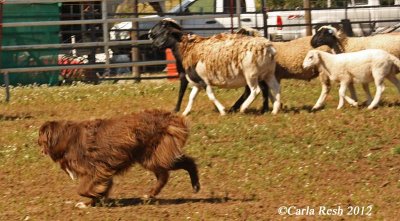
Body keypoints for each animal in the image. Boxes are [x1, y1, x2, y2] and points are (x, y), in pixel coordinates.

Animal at [37, 109, 200, 208]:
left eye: (40, 136)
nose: (36, 142)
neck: (65, 138)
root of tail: (169, 117)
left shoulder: (97, 169)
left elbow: (82, 189)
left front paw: (93, 197)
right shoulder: (100, 172)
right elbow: (99, 187)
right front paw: (93, 202)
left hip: (154, 157)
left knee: (167, 174)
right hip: (152, 157)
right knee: (182, 165)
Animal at [148, 18, 282, 115]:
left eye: (163, 27)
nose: (149, 34)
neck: (188, 49)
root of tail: (268, 48)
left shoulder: (202, 81)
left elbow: (210, 96)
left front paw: (221, 110)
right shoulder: (197, 82)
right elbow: (191, 97)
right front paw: (185, 112)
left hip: (251, 74)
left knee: (255, 90)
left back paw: (243, 108)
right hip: (267, 74)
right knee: (273, 88)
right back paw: (273, 109)